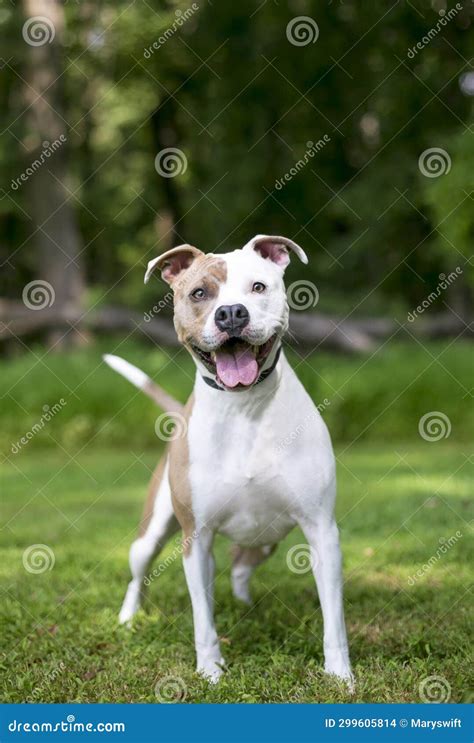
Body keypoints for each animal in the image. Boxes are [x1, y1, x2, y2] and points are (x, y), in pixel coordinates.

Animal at [104, 237, 356, 684]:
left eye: (258, 287)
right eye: (199, 293)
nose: (232, 313)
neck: (245, 408)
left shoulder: (322, 531)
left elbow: (334, 618)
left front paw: (340, 675)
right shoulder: (197, 539)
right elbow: (203, 618)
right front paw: (210, 671)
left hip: (269, 536)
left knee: (242, 562)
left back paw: (243, 604)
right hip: (151, 533)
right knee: (139, 574)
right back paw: (129, 618)